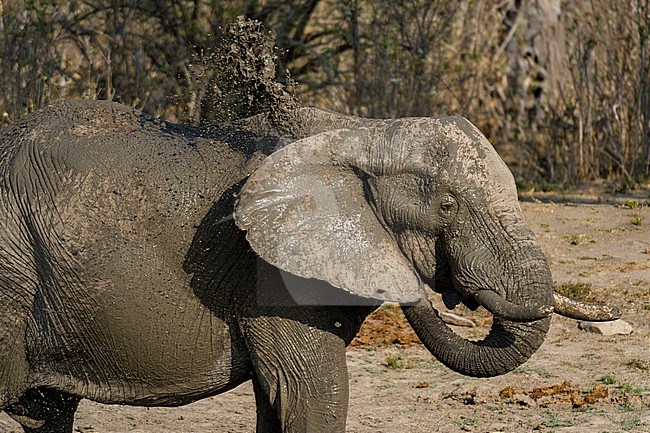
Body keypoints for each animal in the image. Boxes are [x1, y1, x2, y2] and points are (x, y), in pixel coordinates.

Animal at [0, 99, 616, 430]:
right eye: (446, 206)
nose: (608, 308)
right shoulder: (271, 275)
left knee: (47, 414)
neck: (359, 133)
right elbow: (311, 394)